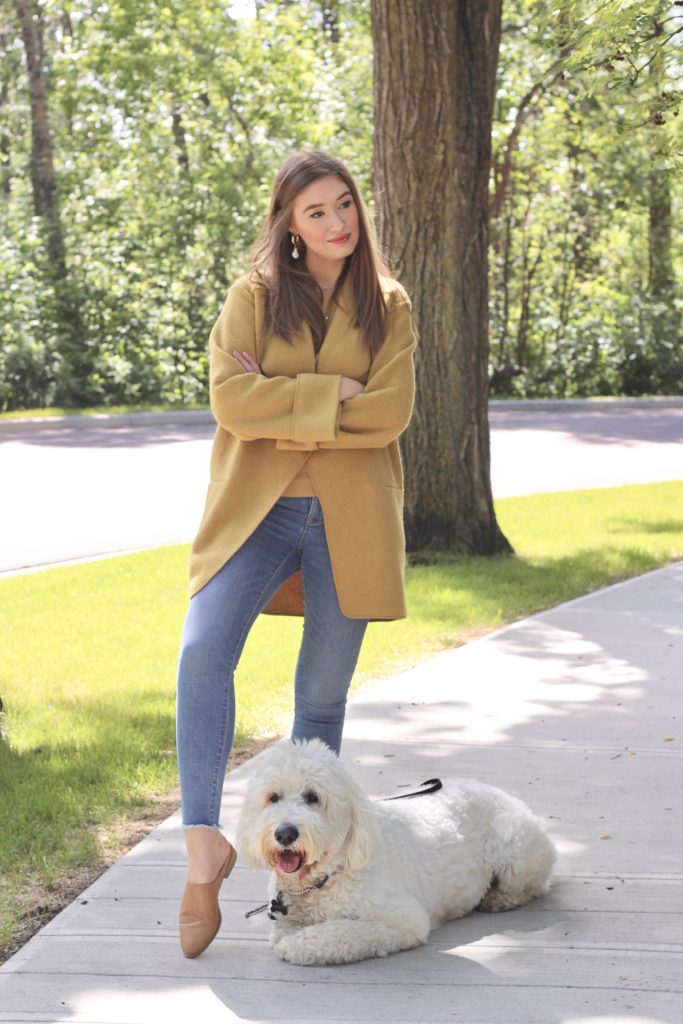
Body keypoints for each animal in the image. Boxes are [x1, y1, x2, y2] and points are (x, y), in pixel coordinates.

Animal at [236, 741, 557, 962]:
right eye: (273, 797)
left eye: (313, 797)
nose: (285, 833)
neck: (329, 873)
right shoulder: (287, 915)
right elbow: (285, 930)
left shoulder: (403, 920)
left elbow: (343, 932)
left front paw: (298, 945)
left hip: (512, 846)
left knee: (531, 887)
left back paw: (498, 898)